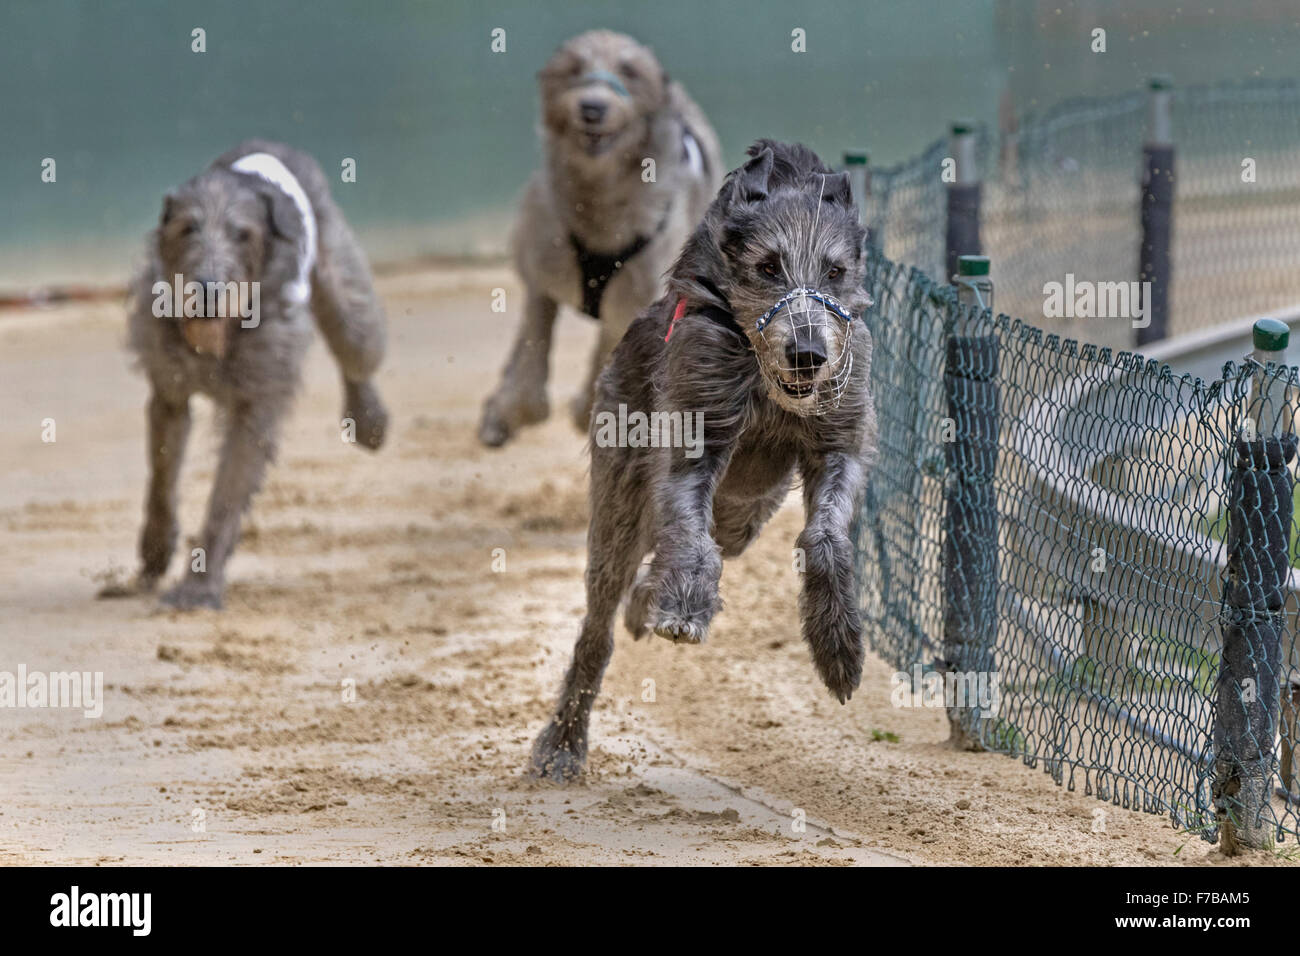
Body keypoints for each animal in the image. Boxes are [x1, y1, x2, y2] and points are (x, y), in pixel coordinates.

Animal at [104, 138, 387, 608]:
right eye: (188, 228)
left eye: (243, 234)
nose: (207, 291)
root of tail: (270, 144)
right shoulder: (169, 390)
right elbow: (162, 474)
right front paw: (155, 554)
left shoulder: (257, 403)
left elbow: (227, 491)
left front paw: (198, 587)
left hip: (343, 287)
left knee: (356, 346)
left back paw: (368, 419)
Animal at [478, 28, 722, 447]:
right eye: (573, 68)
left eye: (630, 72)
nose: (592, 107)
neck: (598, 200)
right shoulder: (543, 268)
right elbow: (534, 339)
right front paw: (515, 405)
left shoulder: (638, 291)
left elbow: (611, 343)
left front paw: (588, 405)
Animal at [533, 143, 878, 785]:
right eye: (768, 267)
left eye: (835, 271)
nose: (809, 354)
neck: (764, 383)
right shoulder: (694, 435)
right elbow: (690, 534)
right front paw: (684, 606)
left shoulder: (839, 440)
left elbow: (826, 534)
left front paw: (838, 643)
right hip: (620, 492)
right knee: (602, 612)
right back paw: (563, 741)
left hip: (746, 512)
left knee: (700, 545)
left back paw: (646, 599)